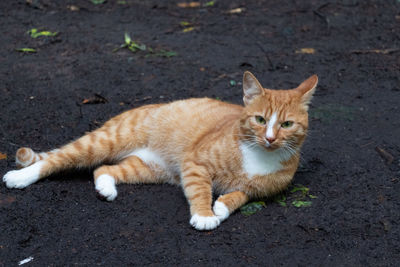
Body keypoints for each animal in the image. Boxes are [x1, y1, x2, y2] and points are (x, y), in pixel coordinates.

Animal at [1, 72, 318, 231]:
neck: (259, 156)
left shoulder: (257, 191)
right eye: (260, 120)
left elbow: (239, 196)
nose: (270, 138)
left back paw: (106, 188)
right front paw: (205, 214)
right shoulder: (195, 164)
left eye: (287, 124)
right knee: (57, 159)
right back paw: (20, 177)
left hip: (148, 169)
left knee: (103, 169)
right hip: (103, 142)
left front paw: (221, 207)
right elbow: (201, 190)